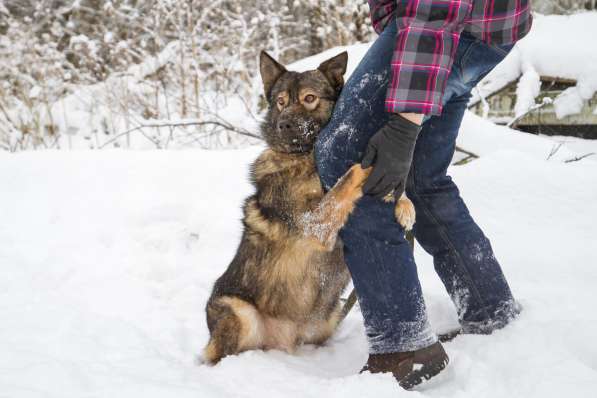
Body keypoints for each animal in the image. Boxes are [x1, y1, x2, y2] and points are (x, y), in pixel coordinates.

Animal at [201, 49, 414, 364]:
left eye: (309, 98)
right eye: (280, 102)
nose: (284, 124)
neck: (304, 156)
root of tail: (283, 344)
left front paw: (403, 203)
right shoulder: (315, 224)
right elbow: (348, 177)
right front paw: (373, 165)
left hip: (328, 317)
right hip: (239, 311)